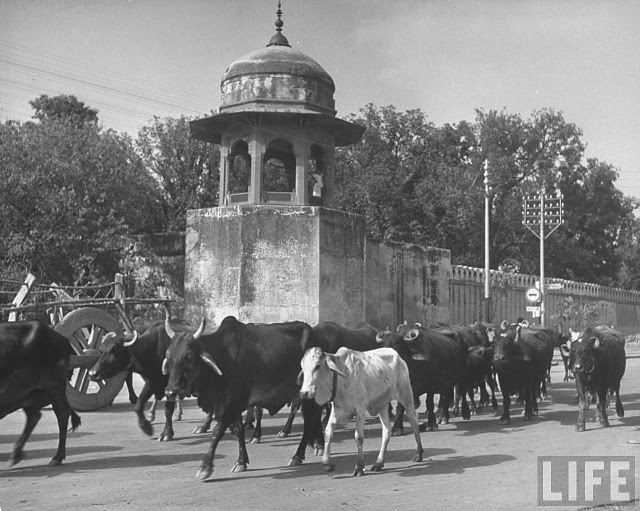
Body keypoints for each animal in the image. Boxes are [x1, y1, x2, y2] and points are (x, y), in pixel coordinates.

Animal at [300, 346, 424, 478]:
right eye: (302, 366)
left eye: (317, 366)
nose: (304, 393)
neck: (341, 376)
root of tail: (398, 356)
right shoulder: (337, 410)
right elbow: (328, 432)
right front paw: (327, 464)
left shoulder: (360, 409)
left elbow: (358, 437)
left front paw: (359, 467)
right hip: (382, 405)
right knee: (386, 430)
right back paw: (379, 463)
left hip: (407, 397)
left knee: (414, 421)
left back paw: (418, 454)